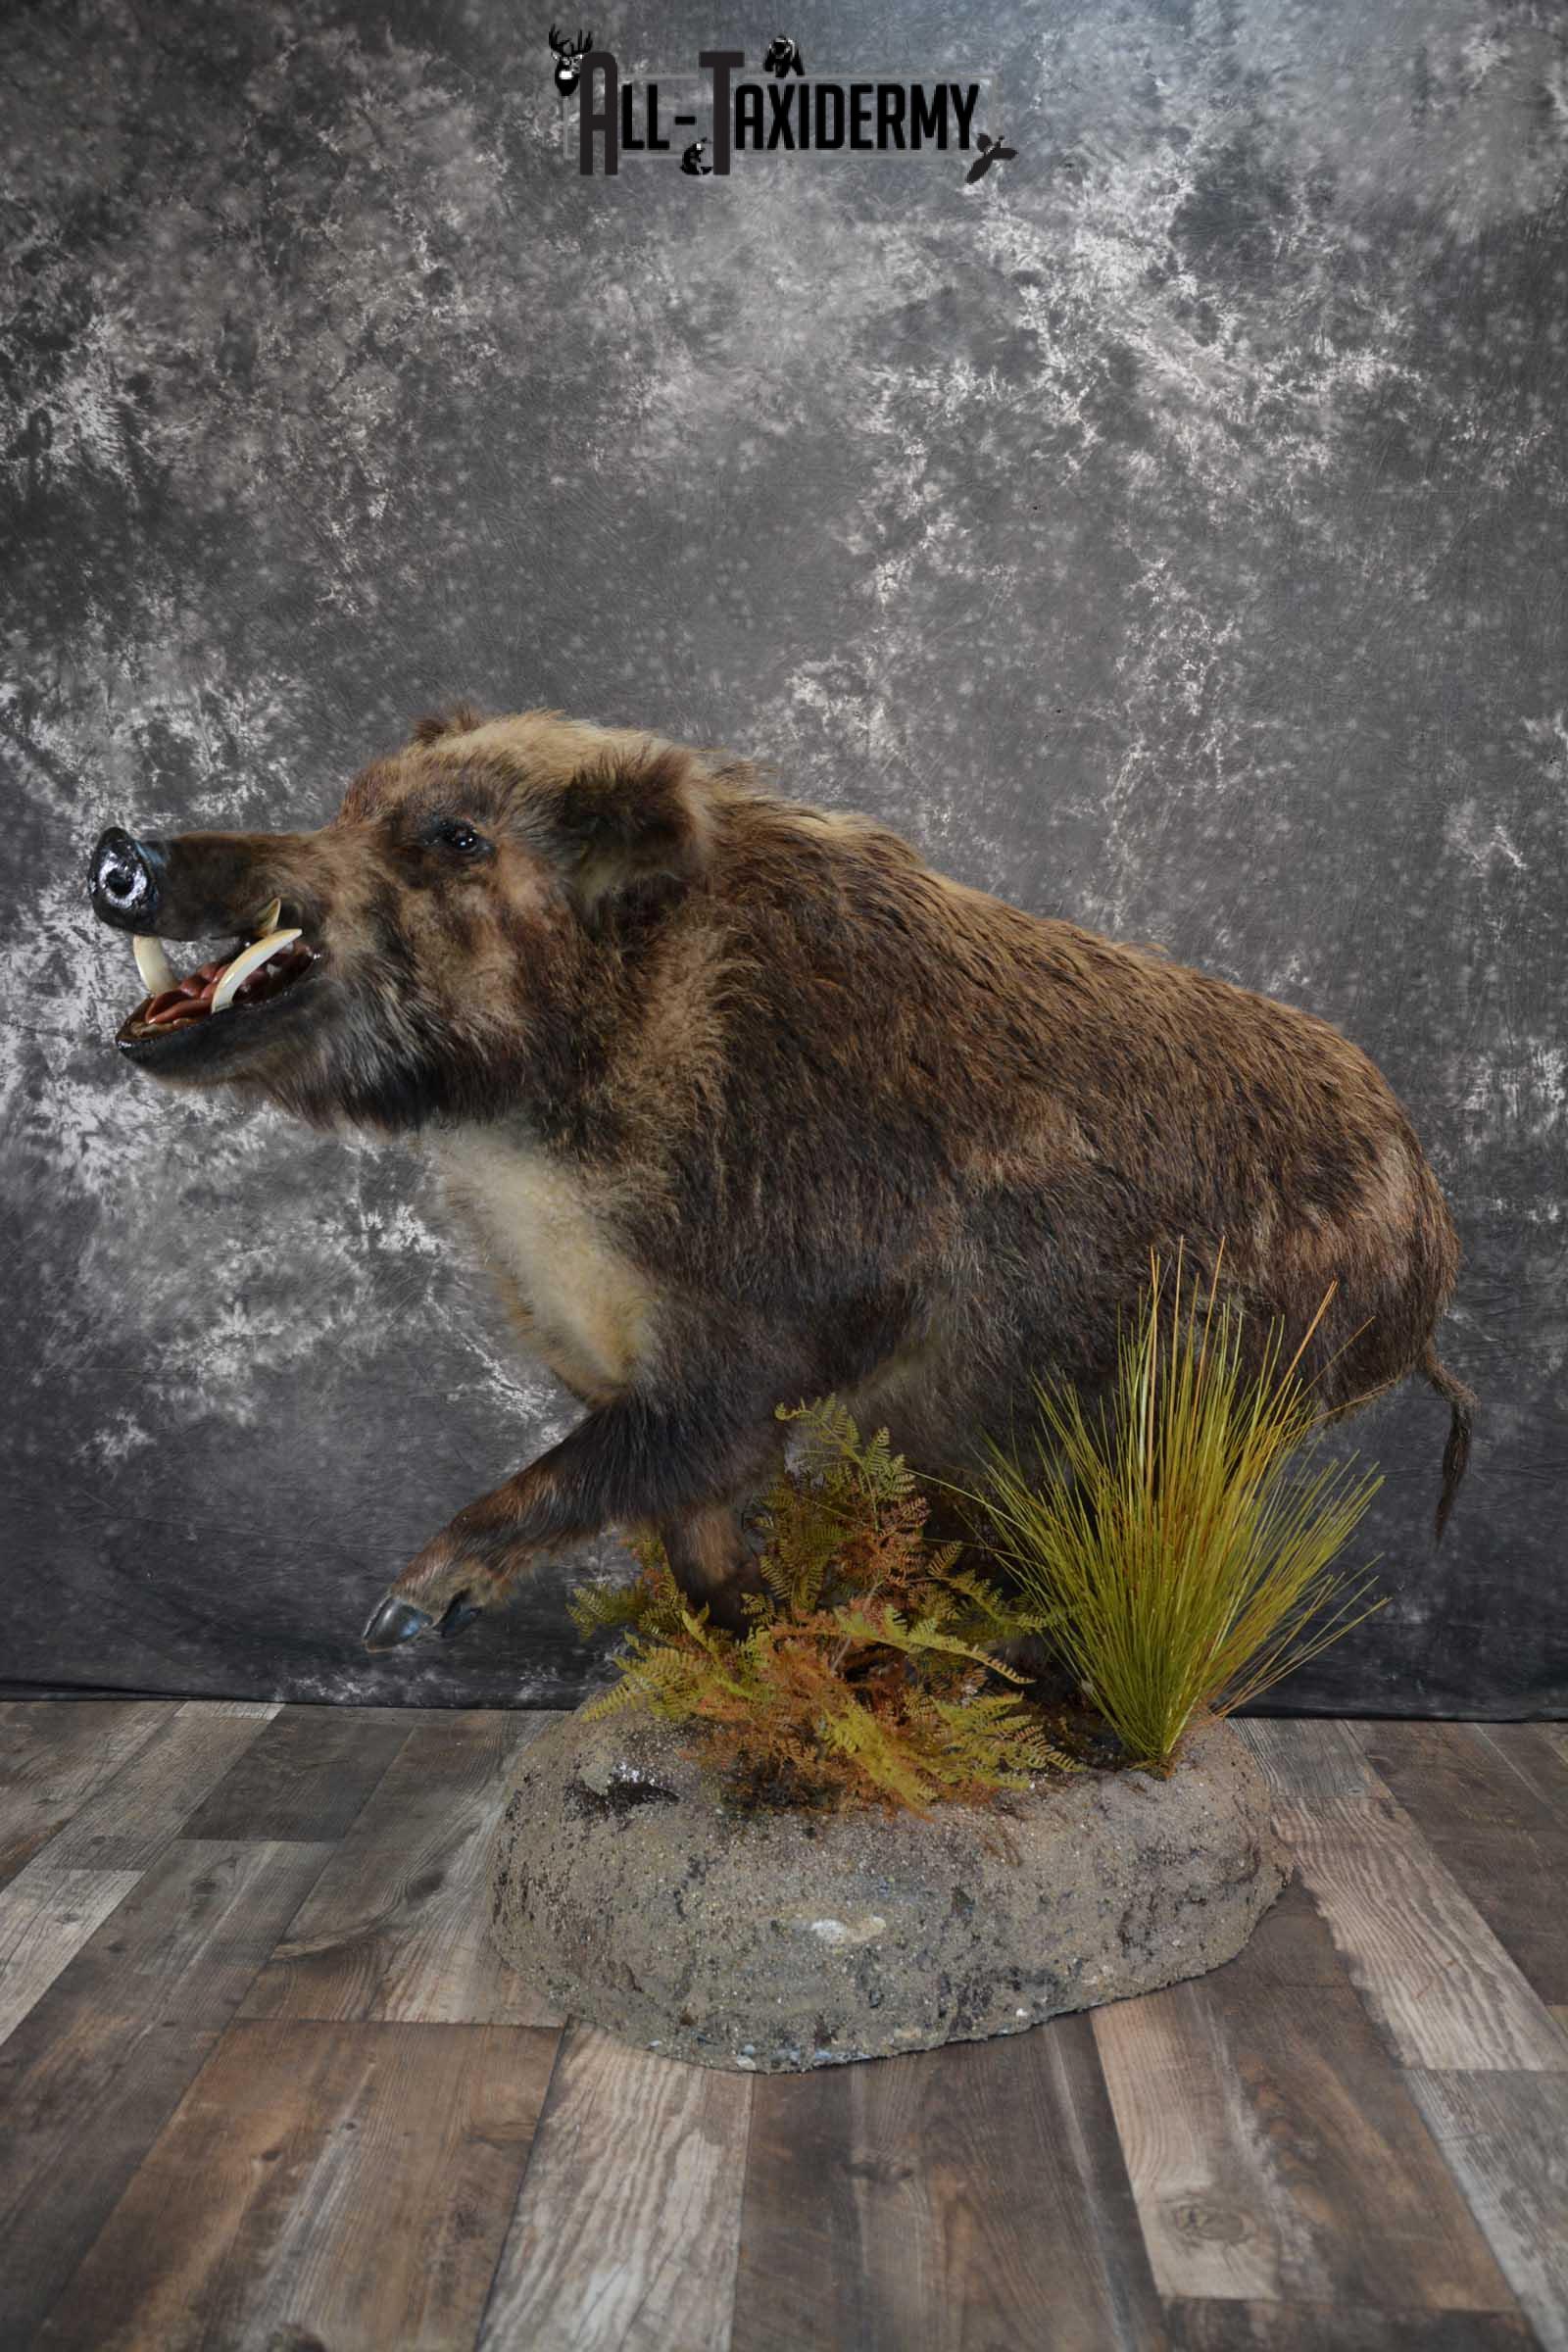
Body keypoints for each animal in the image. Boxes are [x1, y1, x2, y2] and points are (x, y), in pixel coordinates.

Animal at [87, 705, 1475, 1653]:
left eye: (457, 838)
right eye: (349, 801)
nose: (121, 844)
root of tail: (1430, 1247)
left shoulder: (768, 1334)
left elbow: (633, 1462)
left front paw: (402, 1612)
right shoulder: (600, 1346)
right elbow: (693, 1525)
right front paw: (744, 1631)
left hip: (1207, 1395)